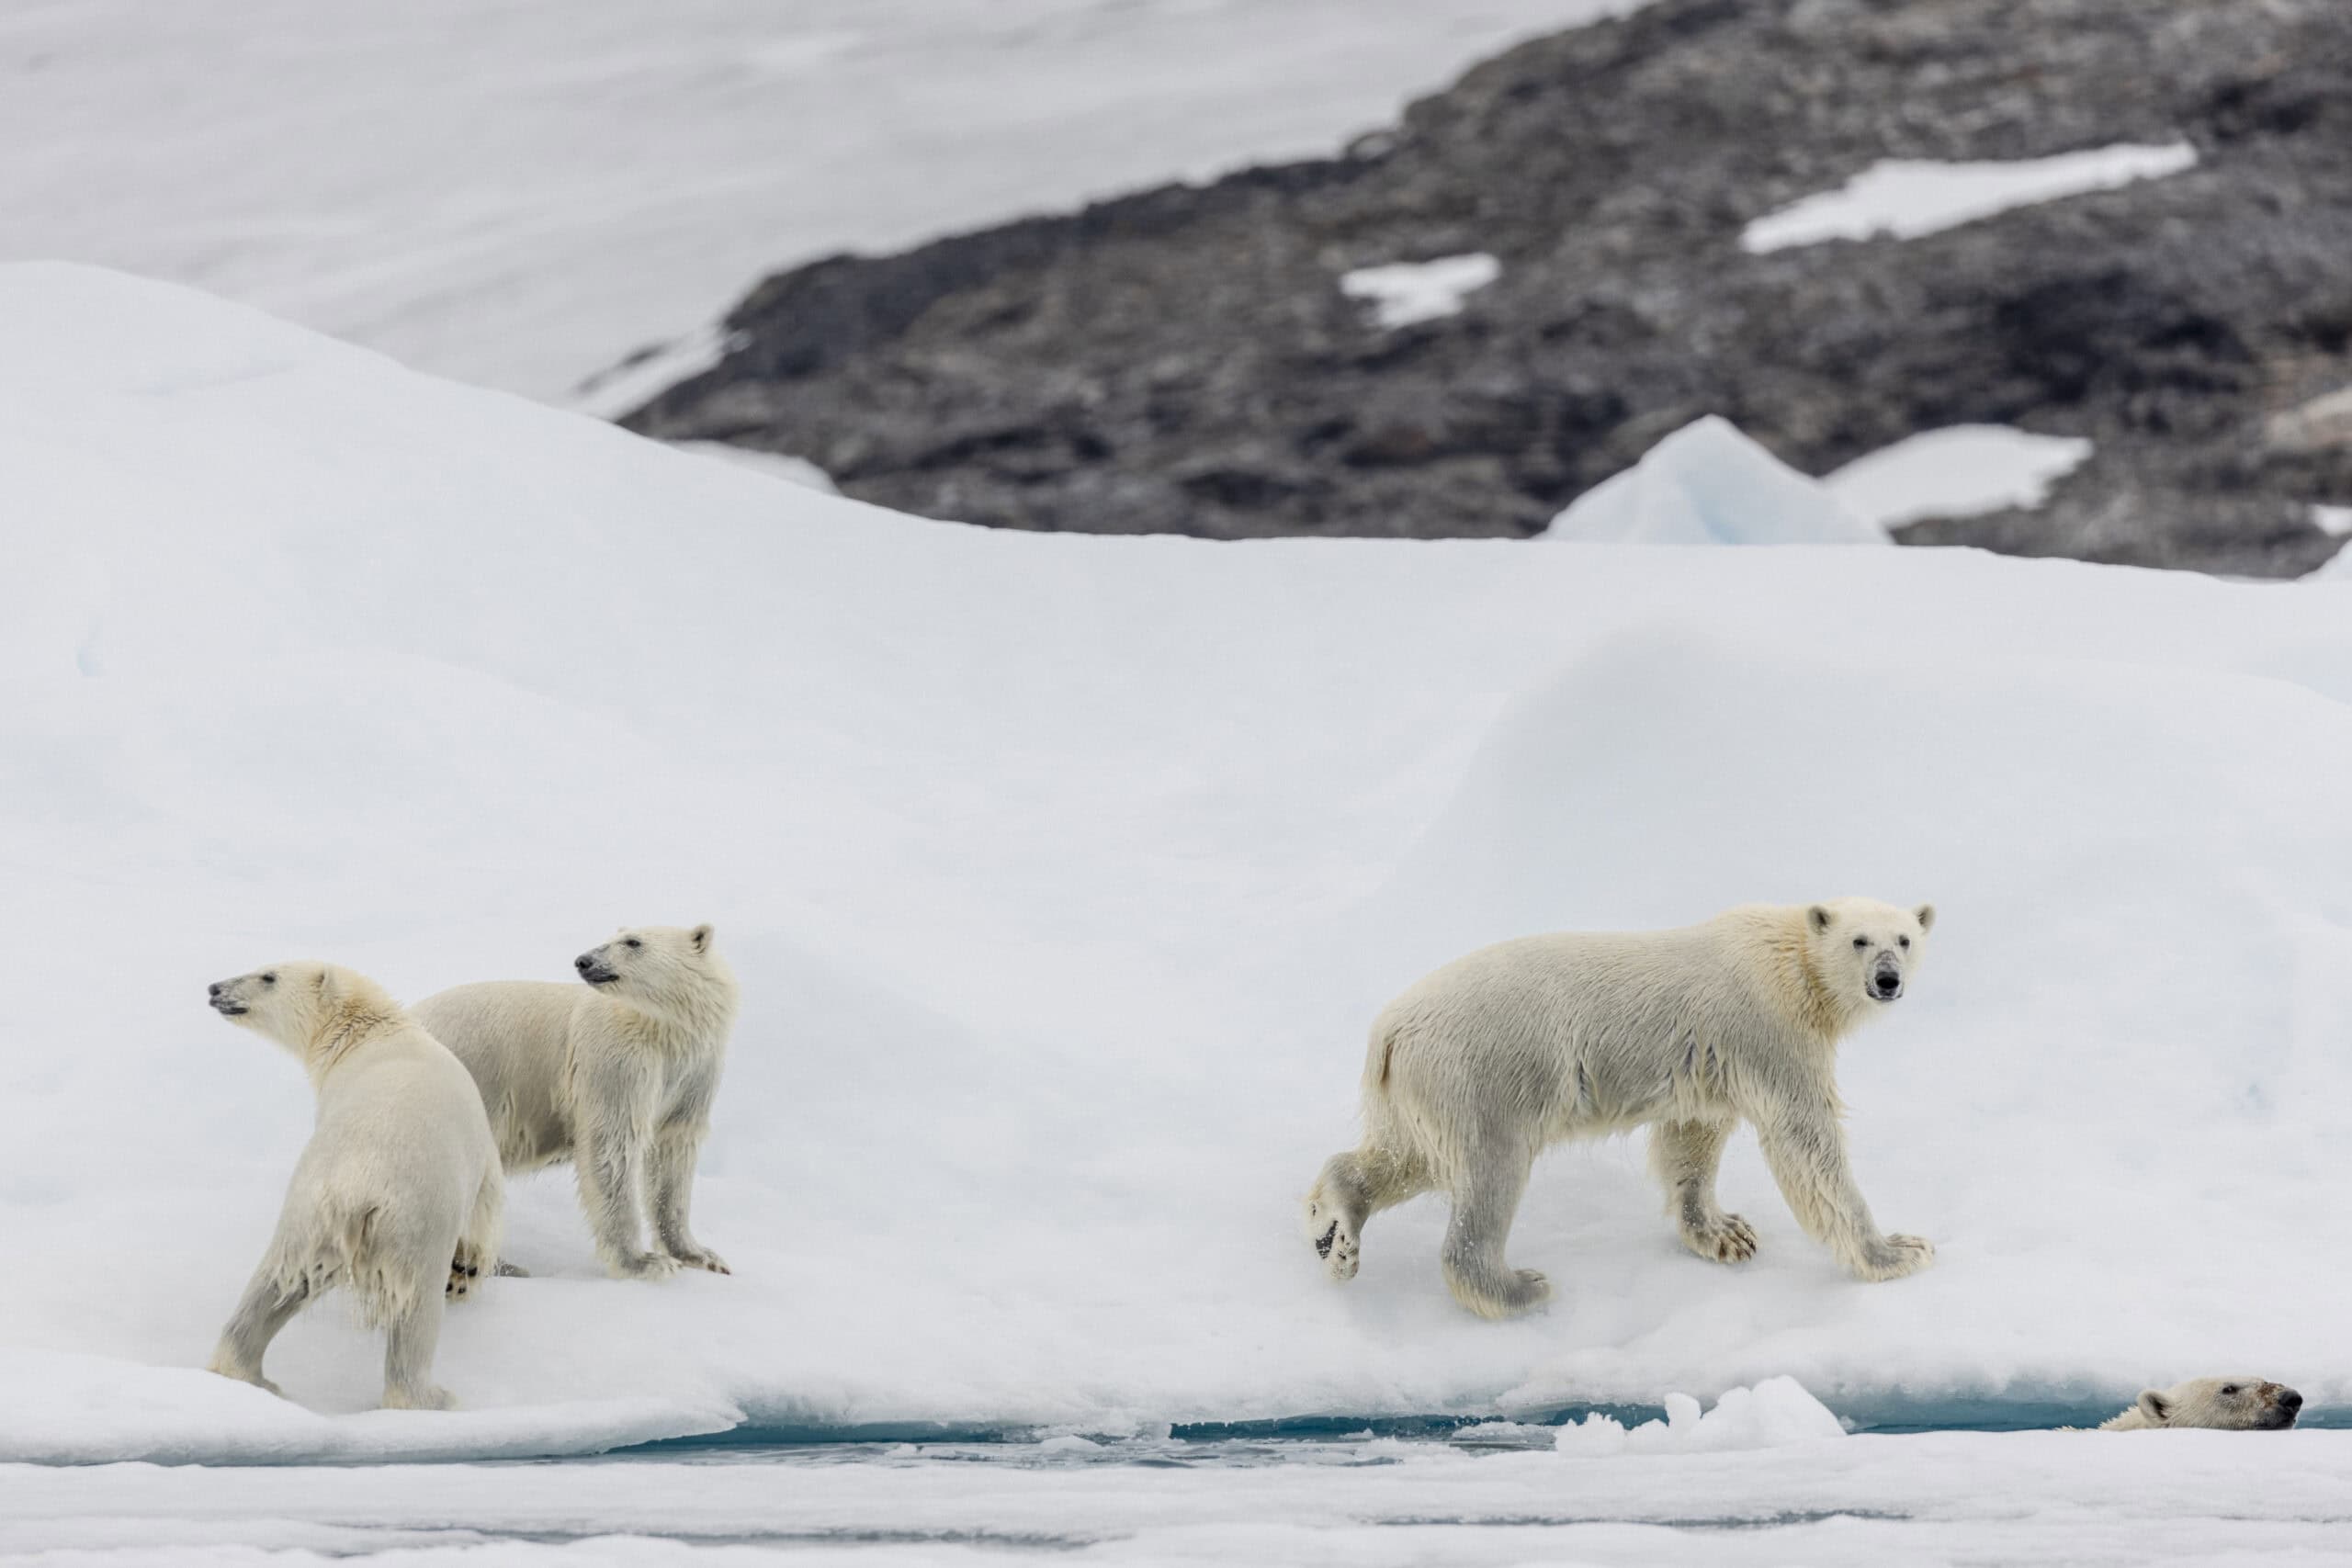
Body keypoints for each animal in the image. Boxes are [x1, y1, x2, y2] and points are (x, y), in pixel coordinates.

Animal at [204, 961, 502, 1410]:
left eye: (268, 975)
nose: (215, 988)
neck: (372, 1033)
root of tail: (356, 1189)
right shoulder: (477, 1146)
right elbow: (486, 1202)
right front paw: (469, 1268)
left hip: (309, 1211)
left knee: (276, 1280)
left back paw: (249, 1374)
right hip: (414, 1222)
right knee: (415, 1307)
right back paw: (431, 1396)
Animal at [410, 924, 739, 1281]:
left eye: (632, 942)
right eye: (615, 937)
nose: (584, 961)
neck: (662, 1031)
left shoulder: (695, 1071)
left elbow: (673, 1154)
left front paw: (699, 1255)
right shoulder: (614, 1059)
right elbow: (611, 1147)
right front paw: (644, 1262)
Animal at [1305, 898, 1936, 1318]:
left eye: (1905, 939)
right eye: (1860, 940)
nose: (1887, 979)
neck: (1790, 961)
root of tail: (1389, 1031)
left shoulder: (1708, 1062)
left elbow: (1692, 1138)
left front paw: (1725, 1233)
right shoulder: (1768, 1030)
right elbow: (1807, 1146)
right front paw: (1899, 1251)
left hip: (1423, 1091)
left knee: (1407, 1158)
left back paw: (1334, 1232)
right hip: (1483, 1077)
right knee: (1487, 1177)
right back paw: (1519, 1288)